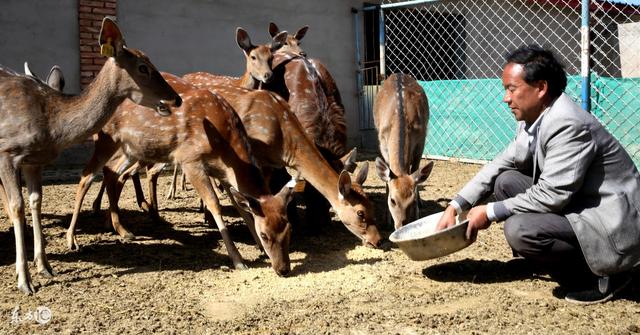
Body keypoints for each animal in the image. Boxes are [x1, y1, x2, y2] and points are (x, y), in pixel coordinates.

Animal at [0, 17, 181, 294]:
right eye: (143, 67)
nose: (176, 98)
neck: (50, 121)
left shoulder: (34, 161)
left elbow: (36, 201)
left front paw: (45, 266)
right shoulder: (7, 152)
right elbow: (17, 205)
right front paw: (24, 280)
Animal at [372, 73, 432, 231]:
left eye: (412, 201)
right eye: (392, 200)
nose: (400, 225)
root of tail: (398, 74)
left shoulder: (421, 139)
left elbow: (416, 169)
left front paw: (417, 213)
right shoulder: (382, 143)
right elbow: (388, 178)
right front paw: (387, 219)